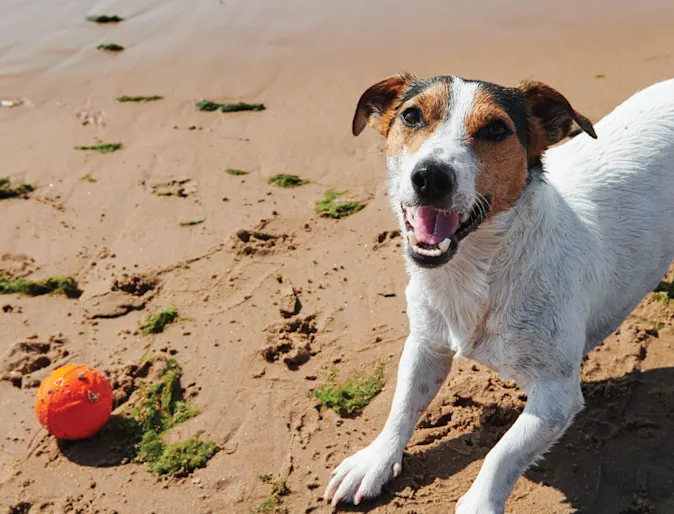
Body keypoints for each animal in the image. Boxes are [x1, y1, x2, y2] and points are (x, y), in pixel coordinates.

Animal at [320, 74, 672, 510]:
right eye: (411, 115)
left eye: (496, 129)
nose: (431, 177)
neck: (476, 273)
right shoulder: (425, 344)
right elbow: (402, 406)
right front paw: (375, 460)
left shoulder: (556, 394)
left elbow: (502, 453)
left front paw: (479, 503)